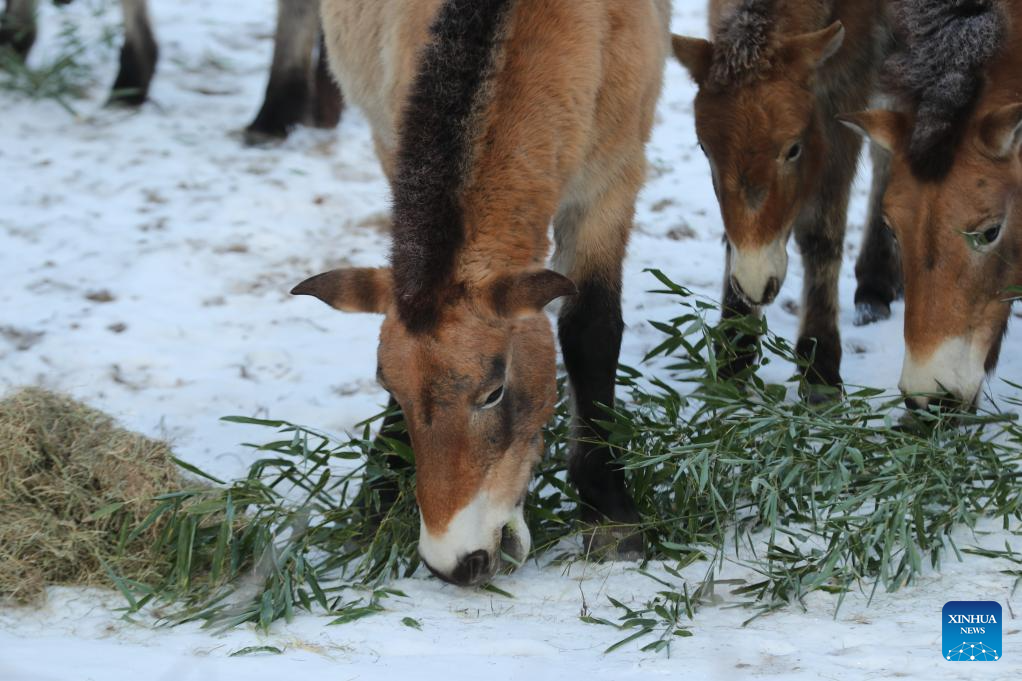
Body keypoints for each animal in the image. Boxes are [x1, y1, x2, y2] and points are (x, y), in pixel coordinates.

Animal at [292, 0, 671, 586]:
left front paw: (609, 513)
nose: (455, 563)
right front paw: (379, 492)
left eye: (494, 391)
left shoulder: (610, 183)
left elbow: (591, 333)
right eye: (389, 387)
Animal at [671, 0, 894, 397]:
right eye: (704, 149)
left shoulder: (846, 83)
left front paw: (820, 364)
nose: (755, 282)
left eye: (794, 149)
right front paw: (734, 351)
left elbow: (821, 233)